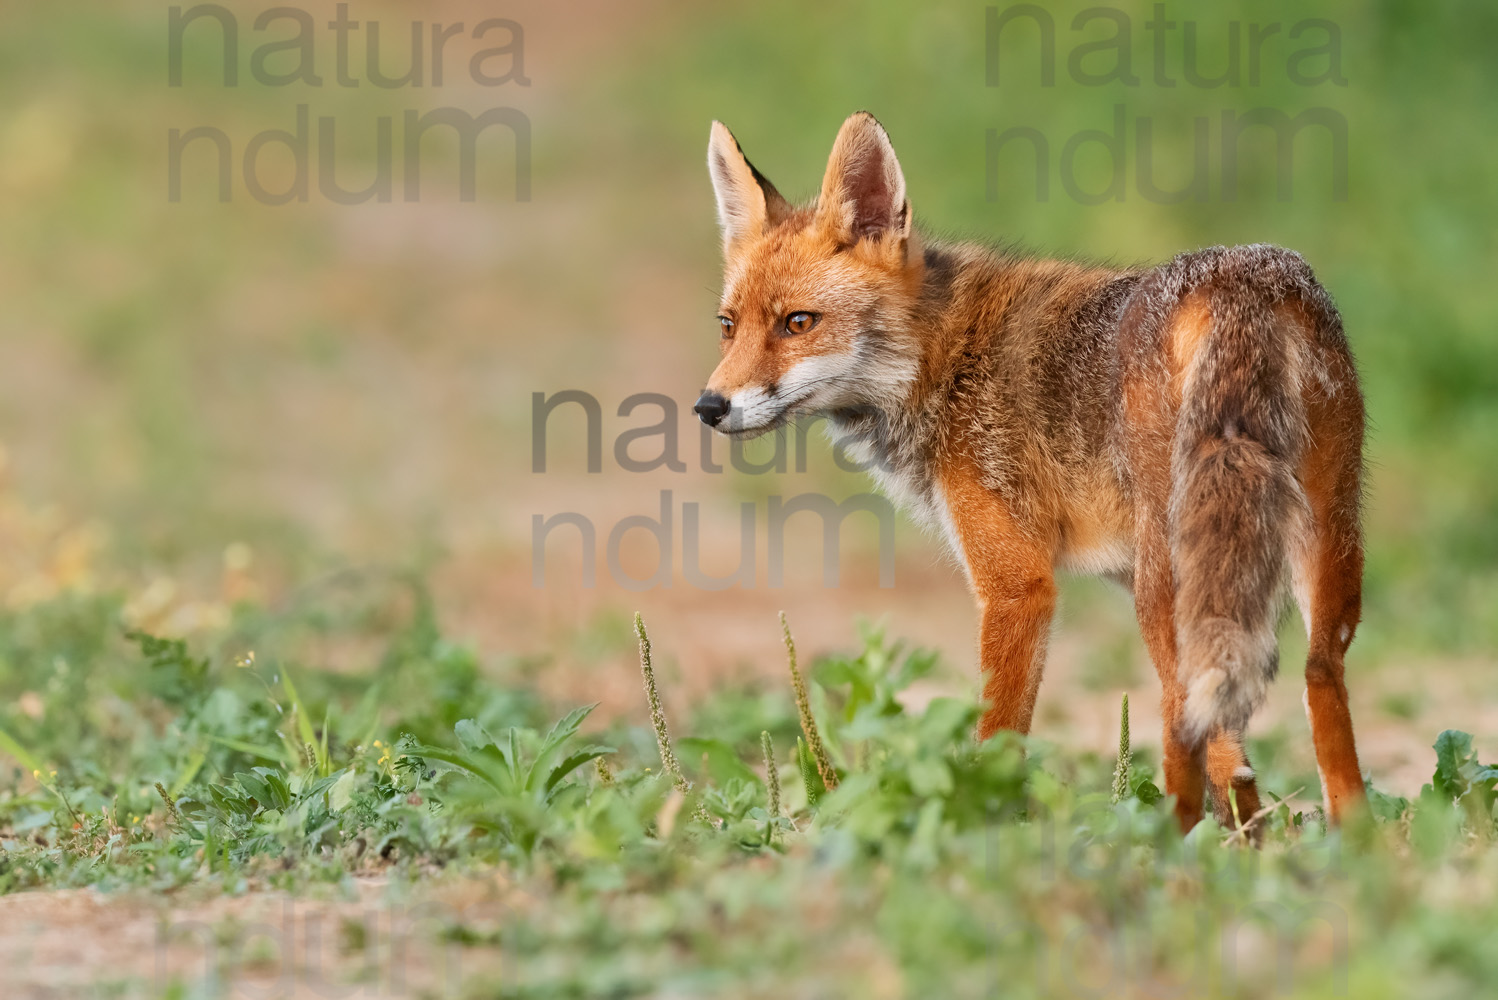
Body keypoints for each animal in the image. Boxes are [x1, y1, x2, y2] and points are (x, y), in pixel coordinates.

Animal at [695, 109, 1366, 832]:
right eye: (728, 326)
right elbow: (1234, 762)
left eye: (798, 323)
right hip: (1317, 552)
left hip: (1167, 586)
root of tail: (1242, 277)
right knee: (1317, 684)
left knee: (1186, 722)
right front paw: (1250, 834)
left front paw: (976, 820)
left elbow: (998, 737)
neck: (941, 357)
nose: (709, 407)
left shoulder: (1018, 584)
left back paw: (1169, 840)